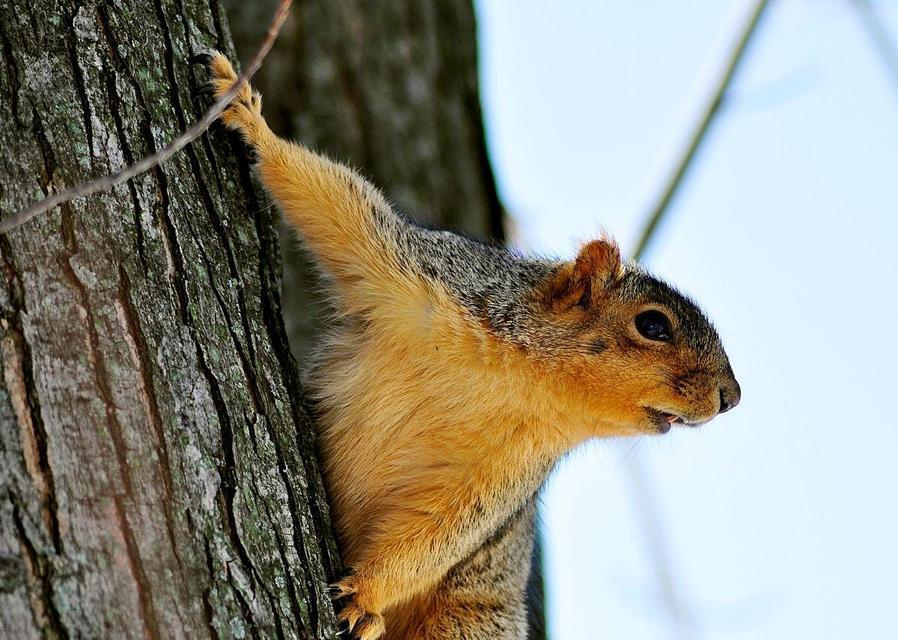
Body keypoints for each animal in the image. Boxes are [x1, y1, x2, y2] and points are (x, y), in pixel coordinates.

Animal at [192, 51, 740, 640]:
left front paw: (365, 595)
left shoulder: (504, 472)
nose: (731, 396)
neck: (523, 377)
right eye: (654, 325)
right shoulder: (421, 278)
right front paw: (250, 118)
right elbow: (340, 205)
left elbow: (440, 533)